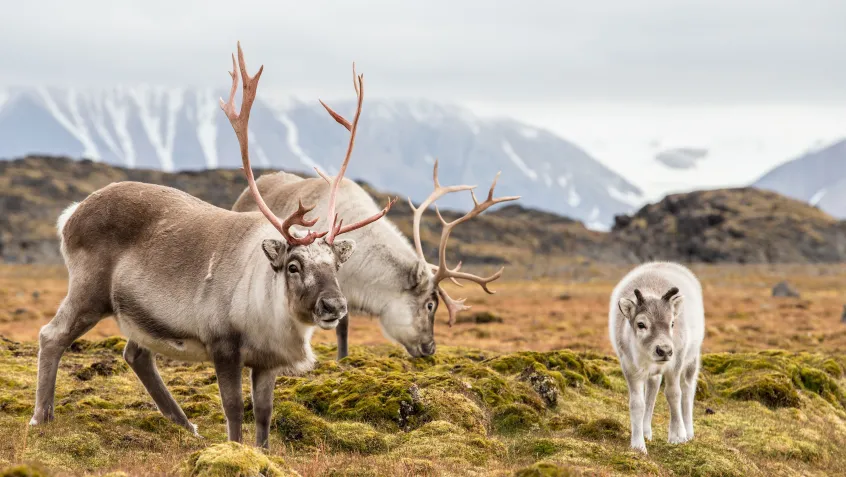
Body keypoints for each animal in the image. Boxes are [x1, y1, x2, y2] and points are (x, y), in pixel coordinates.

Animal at [612, 262, 704, 452]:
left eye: (672, 323)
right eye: (641, 324)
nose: (664, 350)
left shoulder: (675, 364)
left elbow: (673, 394)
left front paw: (677, 436)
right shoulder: (630, 368)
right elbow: (637, 404)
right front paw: (638, 444)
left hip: (692, 359)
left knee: (687, 390)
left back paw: (689, 431)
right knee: (653, 389)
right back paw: (646, 430)